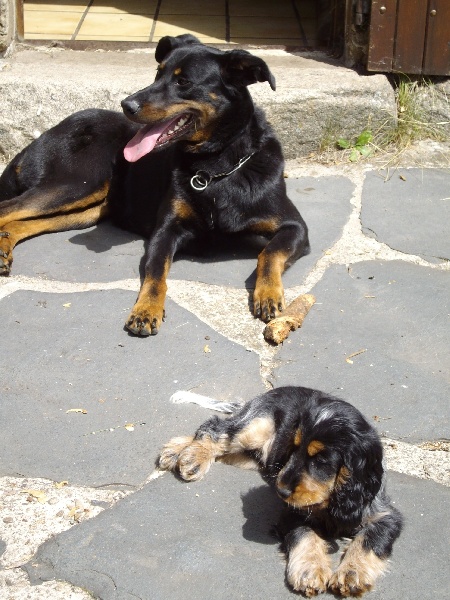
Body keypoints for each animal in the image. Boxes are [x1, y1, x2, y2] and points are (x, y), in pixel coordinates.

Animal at [0, 34, 309, 336]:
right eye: (157, 73)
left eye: (183, 82)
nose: (127, 105)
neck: (216, 166)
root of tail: (41, 137)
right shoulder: (165, 231)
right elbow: (156, 272)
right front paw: (146, 310)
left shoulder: (295, 227)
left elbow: (269, 252)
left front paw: (268, 294)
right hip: (76, 183)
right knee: (9, 207)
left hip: (85, 209)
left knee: (23, 221)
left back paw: (4, 249)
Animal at [158, 386, 403, 597]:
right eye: (293, 448)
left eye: (321, 460)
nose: (281, 491)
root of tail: (265, 394)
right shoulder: (292, 513)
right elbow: (305, 534)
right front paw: (310, 571)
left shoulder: (385, 515)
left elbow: (370, 539)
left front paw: (352, 574)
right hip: (256, 426)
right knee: (214, 427)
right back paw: (190, 456)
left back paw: (176, 451)